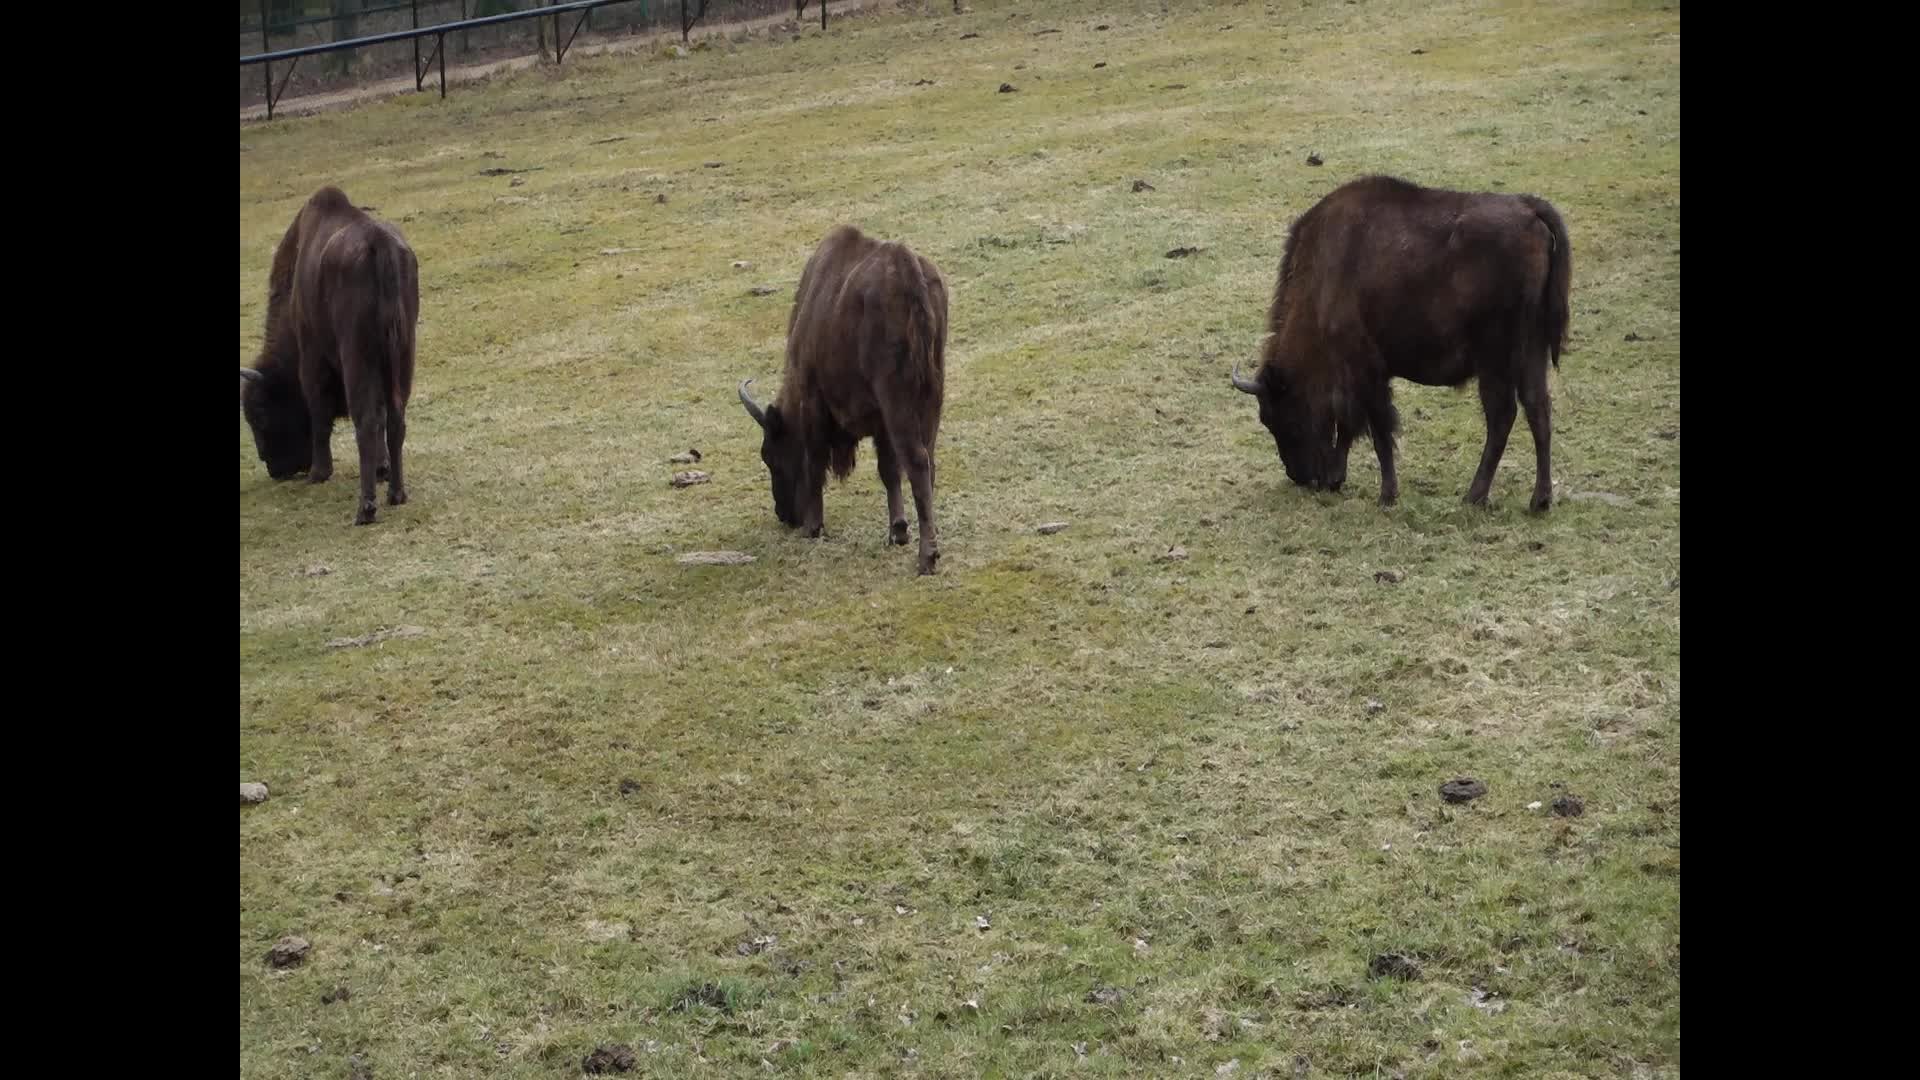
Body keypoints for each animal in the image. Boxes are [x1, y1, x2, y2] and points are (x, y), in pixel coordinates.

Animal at [240, 185, 419, 525]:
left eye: (260, 414)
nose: (275, 468)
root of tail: (380, 244)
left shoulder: (312, 357)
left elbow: (318, 411)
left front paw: (319, 473)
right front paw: (382, 468)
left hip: (356, 356)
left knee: (367, 421)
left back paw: (366, 509)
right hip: (403, 355)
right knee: (395, 417)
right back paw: (396, 494)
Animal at [738, 225, 949, 575]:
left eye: (769, 455)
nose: (785, 516)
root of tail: (908, 270)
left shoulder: (814, 400)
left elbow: (815, 460)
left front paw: (814, 527)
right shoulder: (880, 422)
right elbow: (888, 470)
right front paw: (897, 530)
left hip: (900, 401)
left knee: (917, 462)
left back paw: (927, 558)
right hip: (932, 398)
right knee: (927, 462)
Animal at [1231, 175, 1571, 511]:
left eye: (1283, 416)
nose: (1300, 476)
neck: (1322, 279)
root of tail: (1530, 209)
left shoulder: (1366, 371)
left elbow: (1378, 429)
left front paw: (1386, 495)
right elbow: (1351, 425)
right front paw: (1339, 479)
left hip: (1494, 359)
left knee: (1502, 415)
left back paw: (1474, 496)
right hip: (1531, 351)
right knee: (1537, 408)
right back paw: (1539, 500)